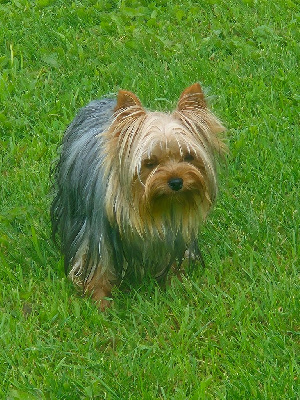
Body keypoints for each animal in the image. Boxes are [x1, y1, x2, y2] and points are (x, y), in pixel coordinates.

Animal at [51, 83, 225, 310]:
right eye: (150, 163)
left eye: (188, 157)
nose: (176, 182)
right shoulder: (97, 234)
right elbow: (98, 265)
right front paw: (101, 303)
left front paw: (175, 286)